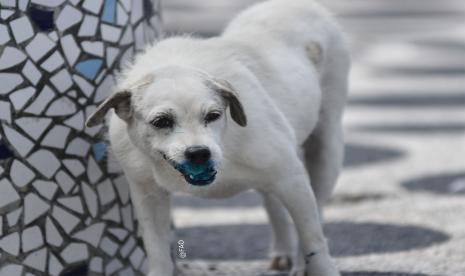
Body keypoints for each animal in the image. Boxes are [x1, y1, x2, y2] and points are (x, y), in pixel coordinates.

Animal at [86, 1, 348, 274]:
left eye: (213, 115)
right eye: (161, 122)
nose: (199, 153)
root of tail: (301, 5)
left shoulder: (292, 179)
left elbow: (313, 238)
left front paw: (322, 268)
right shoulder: (148, 195)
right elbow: (157, 250)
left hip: (325, 151)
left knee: (317, 209)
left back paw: (298, 263)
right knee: (272, 204)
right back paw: (282, 251)